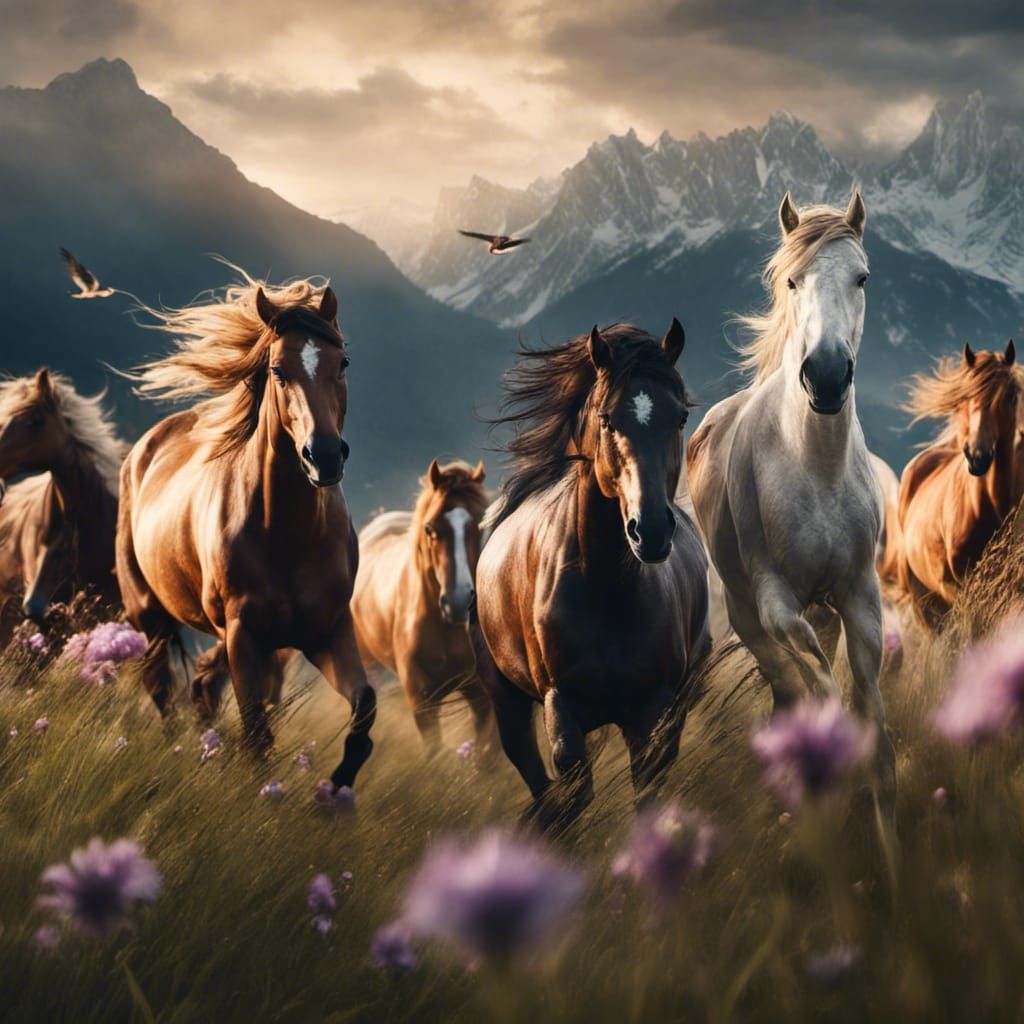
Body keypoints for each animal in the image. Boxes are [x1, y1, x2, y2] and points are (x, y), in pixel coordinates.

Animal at [116, 272, 375, 791]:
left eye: (342, 362)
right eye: (277, 370)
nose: (324, 457)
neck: (288, 536)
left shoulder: (328, 631)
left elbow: (364, 710)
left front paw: (335, 790)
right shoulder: (243, 637)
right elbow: (256, 733)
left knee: (200, 683)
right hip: (150, 616)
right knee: (164, 689)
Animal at [472, 320, 710, 828]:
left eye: (680, 418)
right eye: (607, 419)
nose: (650, 531)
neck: (606, 591)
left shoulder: (652, 709)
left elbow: (648, 791)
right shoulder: (560, 706)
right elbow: (572, 789)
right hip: (506, 704)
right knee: (536, 777)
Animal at [686, 191, 896, 845]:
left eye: (862, 277)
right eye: (792, 280)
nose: (825, 376)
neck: (815, 465)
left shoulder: (858, 596)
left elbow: (875, 724)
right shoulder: (778, 604)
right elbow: (820, 682)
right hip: (749, 618)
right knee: (787, 682)